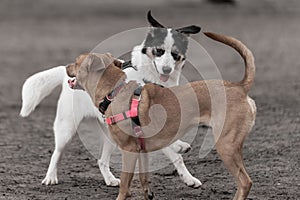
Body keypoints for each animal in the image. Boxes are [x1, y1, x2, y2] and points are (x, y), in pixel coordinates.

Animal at [19, 11, 200, 188]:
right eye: (159, 51)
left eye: (175, 54)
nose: (167, 69)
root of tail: (66, 77)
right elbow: (174, 153)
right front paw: (189, 176)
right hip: (66, 127)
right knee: (56, 153)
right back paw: (50, 177)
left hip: (110, 135)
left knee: (101, 161)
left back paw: (110, 179)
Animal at [67, 31, 256, 200]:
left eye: (76, 62)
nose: (66, 66)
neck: (115, 91)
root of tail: (239, 86)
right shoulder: (141, 151)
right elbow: (143, 179)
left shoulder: (129, 150)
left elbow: (124, 185)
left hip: (226, 145)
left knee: (245, 182)